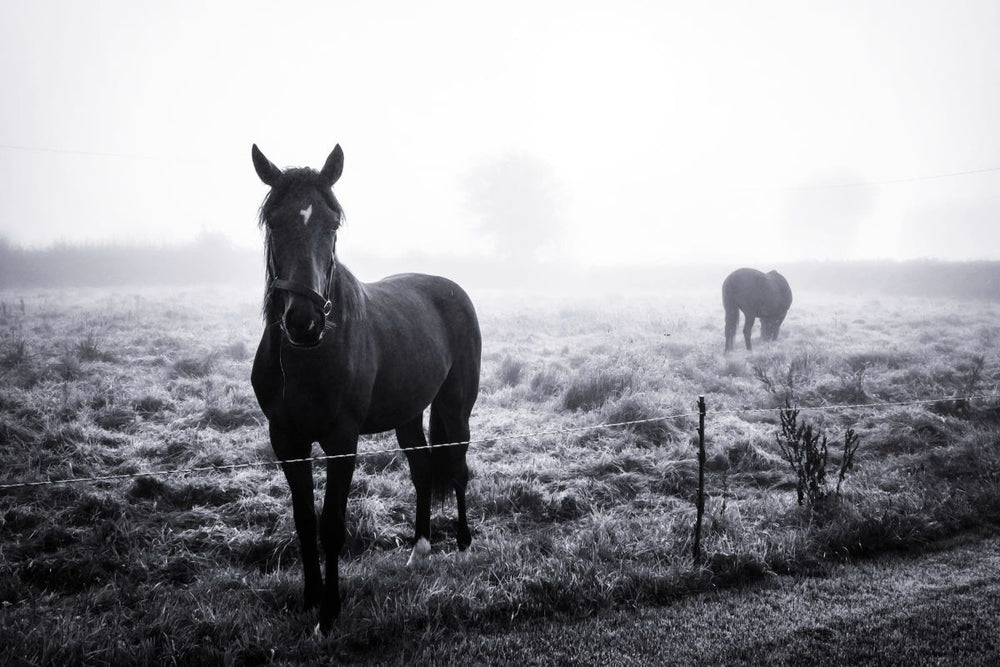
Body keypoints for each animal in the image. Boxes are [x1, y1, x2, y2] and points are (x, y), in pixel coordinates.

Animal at [249, 144, 481, 633]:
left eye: (332, 224)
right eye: (273, 222)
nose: (304, 322)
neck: (308, 359)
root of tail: (452, 288)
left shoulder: (342, 440)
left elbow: (332, 525)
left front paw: (329, 613)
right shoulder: (286, 440)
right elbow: (304, 521)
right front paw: (310, 598)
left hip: (456, 406)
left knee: (457, 467)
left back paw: (464, 545)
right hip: (409, 413)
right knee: (423, 470)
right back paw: (419, 551)